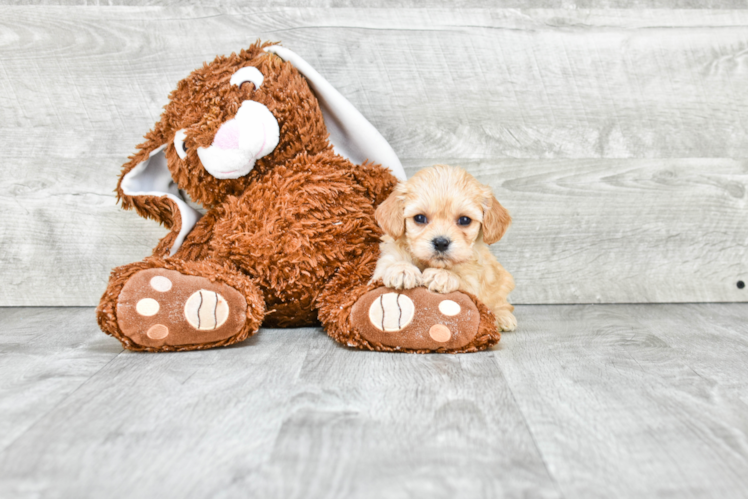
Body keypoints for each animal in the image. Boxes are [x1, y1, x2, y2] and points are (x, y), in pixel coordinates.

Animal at [372, 164, 516, 334]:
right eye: (419, 218)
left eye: (464, 220)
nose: (441, 242)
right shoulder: (380, 268)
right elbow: (388, 267)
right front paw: (402, 270)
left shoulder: (473, 281)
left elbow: (461, 280)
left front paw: (441, 275)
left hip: (503, 282)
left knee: (501, 303)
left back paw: (502, 317)